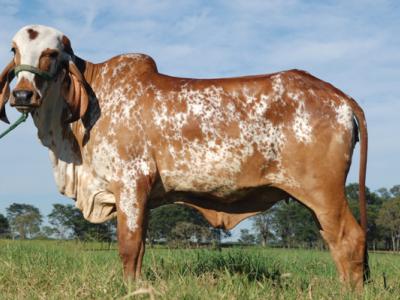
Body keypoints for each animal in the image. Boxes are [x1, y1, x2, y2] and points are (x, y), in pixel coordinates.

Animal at [0, 25, 368, 288]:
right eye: (14, 50)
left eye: (51, 53)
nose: (23, 94)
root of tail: (340, 97)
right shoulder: (143, 197)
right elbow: (140, 249)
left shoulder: (130, 184)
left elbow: (128, 247)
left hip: (324, 192)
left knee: (350, 240)